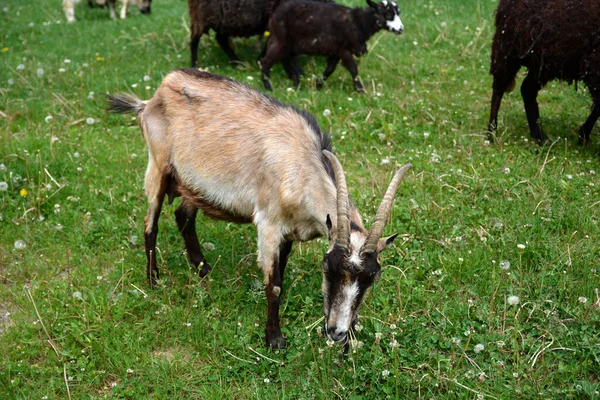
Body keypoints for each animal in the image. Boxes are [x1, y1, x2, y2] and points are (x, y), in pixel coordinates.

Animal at [106, 69, 412, 350]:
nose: (337, 332)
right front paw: (274, 339)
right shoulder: (269, 223)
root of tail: (151, 99)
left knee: (183, 217)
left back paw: (203, 269)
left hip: (191, 183)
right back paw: (153, 280)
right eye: (328, 267)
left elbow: (282, 270)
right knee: (151, 223)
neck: (299, 162)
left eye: (372, 277)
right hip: (158, 165)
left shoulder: (290, 230)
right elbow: (273, 283)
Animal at [258, 0, 404, 91]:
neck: (359, 21)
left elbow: (329, 70)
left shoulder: (336, 51)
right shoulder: (345, 50)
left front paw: (317, 85)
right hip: (280, 40)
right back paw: (268, 87)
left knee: (285, 60)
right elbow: (353, 69)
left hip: (287, 43)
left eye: (398, 13)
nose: (401, 29)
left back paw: (296, 83)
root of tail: (274, 12)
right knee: (266, 61)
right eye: (388, 14)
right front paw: (360, 89)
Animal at [488, 0, 600, 145]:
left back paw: (540, 137)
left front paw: (583, 134)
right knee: (499, 88)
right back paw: (491, 133)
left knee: (527, 89)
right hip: (507, 47)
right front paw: (583, 134)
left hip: (543, 61)